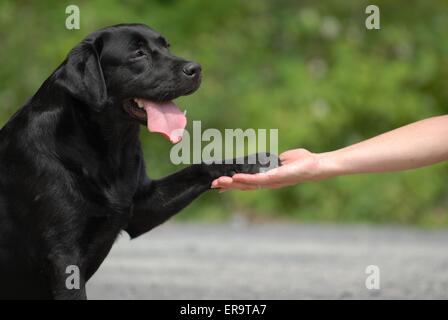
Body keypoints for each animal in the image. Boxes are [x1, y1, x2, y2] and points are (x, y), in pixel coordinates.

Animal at [0, 24, 276, 300]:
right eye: (138, 53)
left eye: (167, 46)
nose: (195, 68)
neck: (105, 148)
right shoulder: (63, 255)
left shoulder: (141, 206)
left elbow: (197, 169)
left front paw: (253, 161)